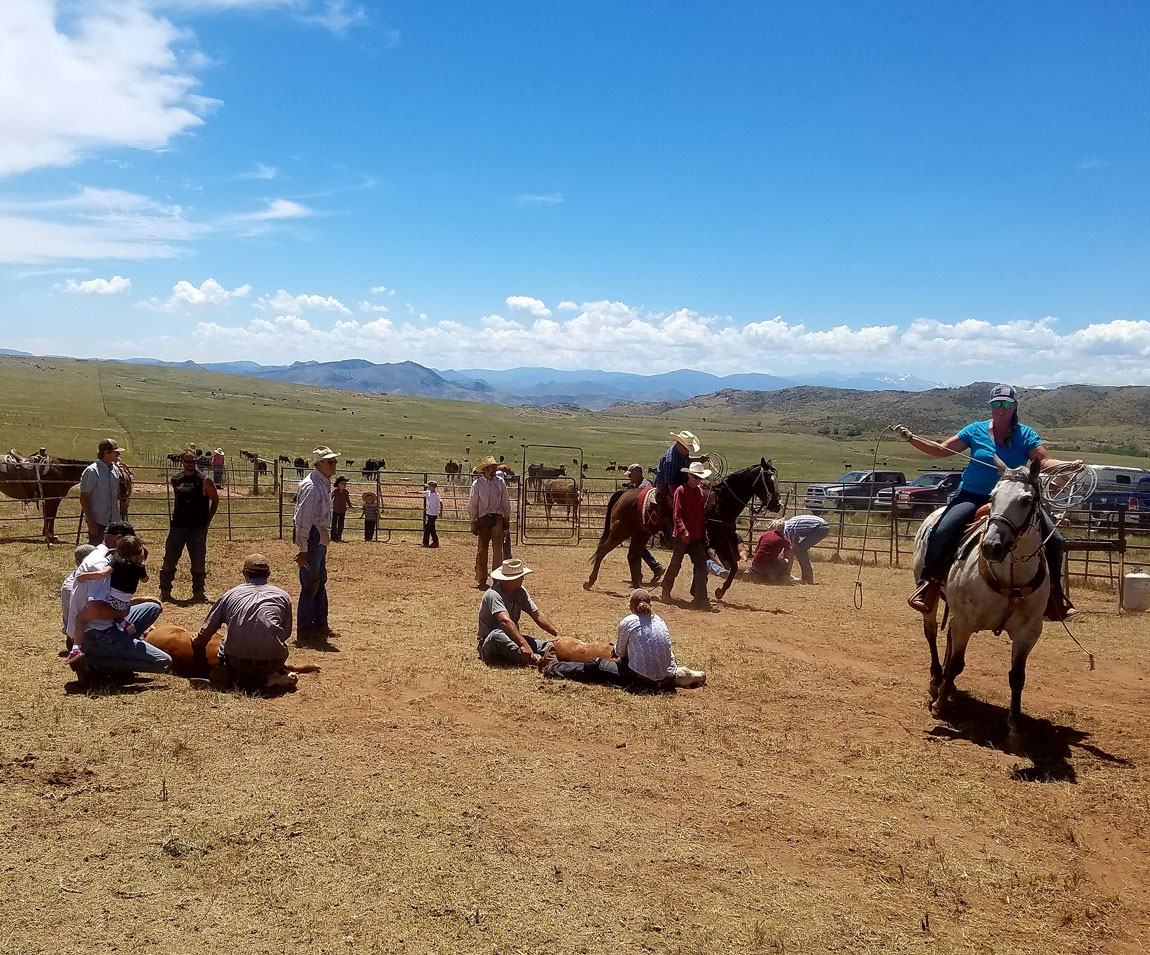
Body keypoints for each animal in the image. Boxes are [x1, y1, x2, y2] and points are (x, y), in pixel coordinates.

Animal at [584, 460, 782, 602]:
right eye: (768, 480)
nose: (777, 504)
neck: (720, 503)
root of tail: (624, 493)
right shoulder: (708, 544)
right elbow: (703, 567)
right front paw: (697, 591)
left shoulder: (721, 543)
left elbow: (732, 567)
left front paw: (718, 591)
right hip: (620, 530)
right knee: (602, 551)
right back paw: (590, 581)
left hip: (642, 533)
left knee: (633, 556)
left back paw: (639, 586)